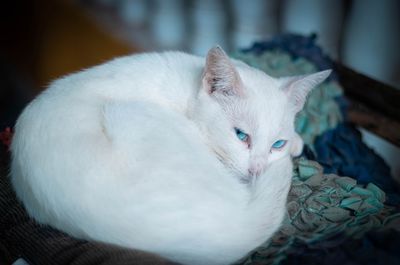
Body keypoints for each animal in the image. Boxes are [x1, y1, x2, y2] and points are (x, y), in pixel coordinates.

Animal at [10, 46, 330, 262]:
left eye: (277, 144)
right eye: (241, 136)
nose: (257, 171)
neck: (189, 88)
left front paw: (296, 141)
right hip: (129, 110)